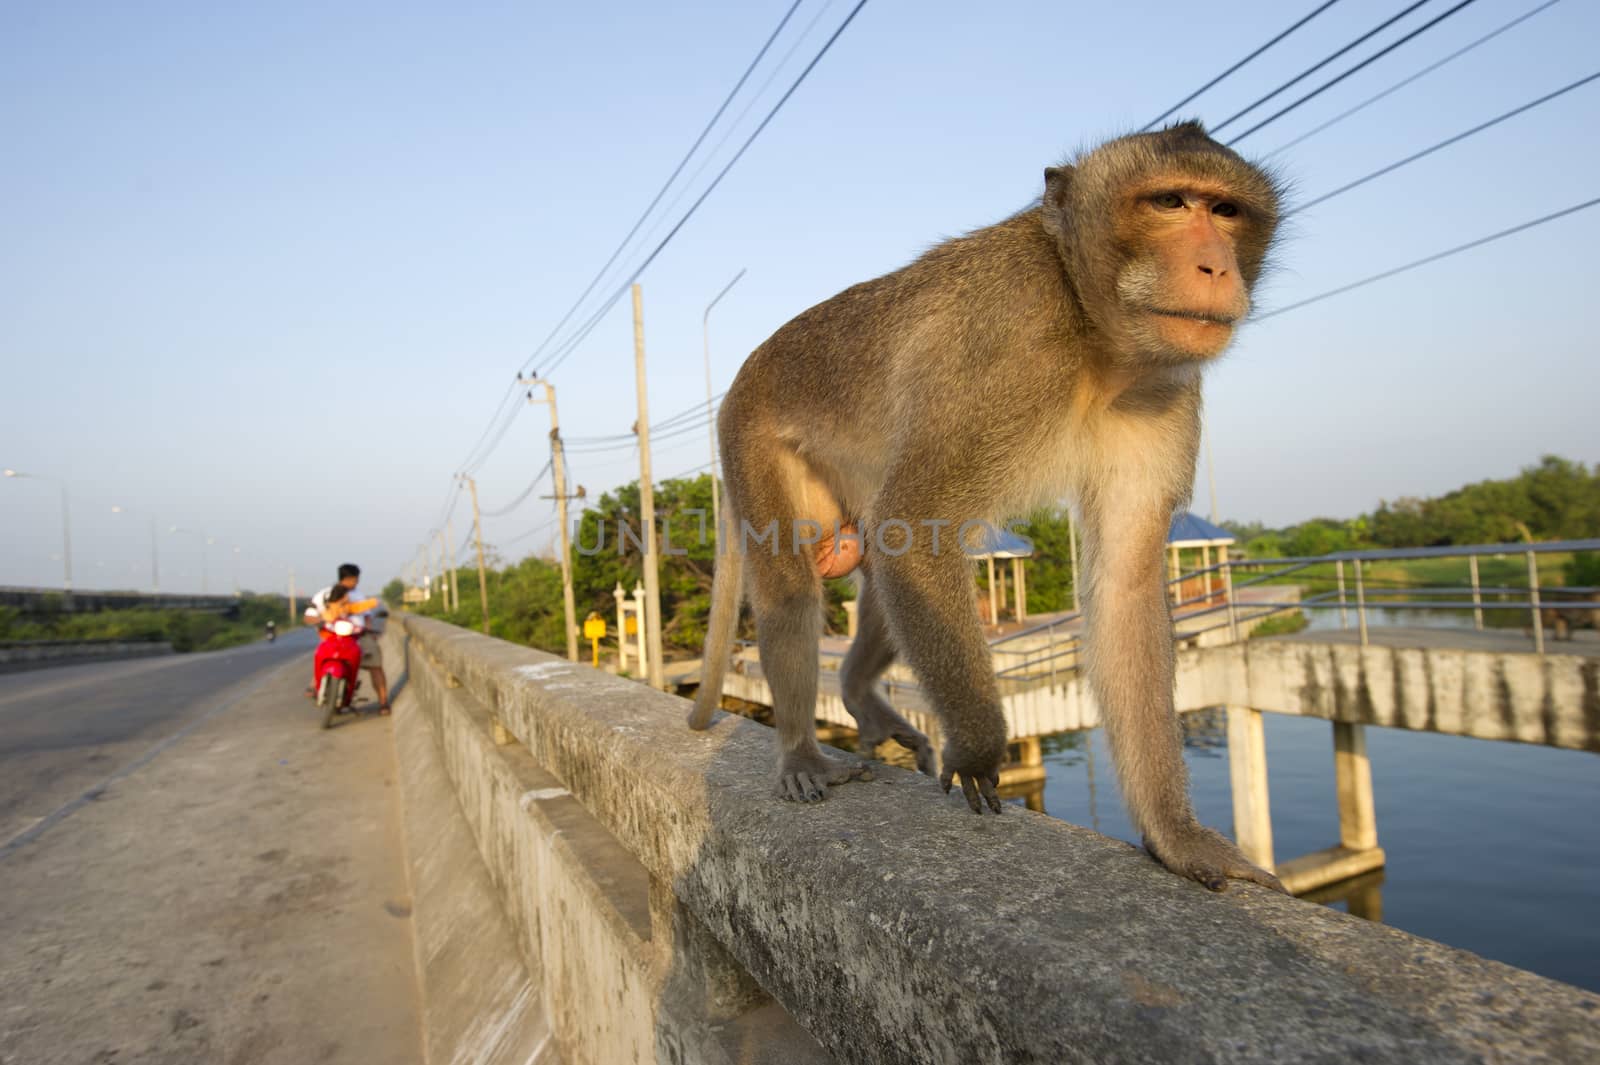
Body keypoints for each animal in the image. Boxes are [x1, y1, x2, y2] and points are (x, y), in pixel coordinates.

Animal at [688, 122, 1286, 889]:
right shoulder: (1008, 347)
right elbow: (916, 527)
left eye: (1227, 211)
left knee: (887, 556)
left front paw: (1176, 836)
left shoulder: (1161, 392)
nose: (1215, 266)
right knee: (801, 581)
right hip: (756, 435)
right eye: (1171, 203)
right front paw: (977, 750)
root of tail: (743, 377)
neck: (1090, 325)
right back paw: (800, 750)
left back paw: (856, 695)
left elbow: (1122, 587)